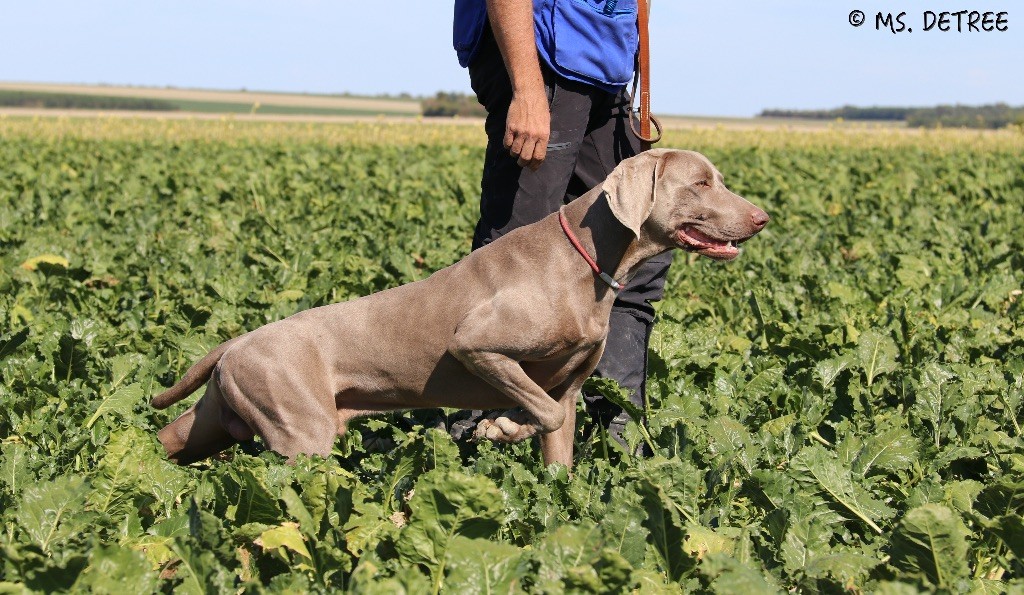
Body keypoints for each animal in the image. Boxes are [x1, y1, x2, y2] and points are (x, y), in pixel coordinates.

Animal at [151, 147, 770, 464]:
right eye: (701, 183)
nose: (763, 217)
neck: (589, 261)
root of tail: (235, 341)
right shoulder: (477, 345)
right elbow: (536, 411)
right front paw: (499, 429)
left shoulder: (568, 391)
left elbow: (558, 445)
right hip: (301, 432)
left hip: (215, 420)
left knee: (165, 441)